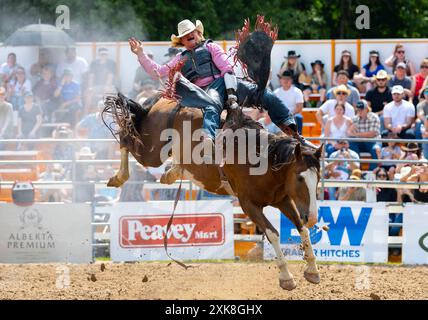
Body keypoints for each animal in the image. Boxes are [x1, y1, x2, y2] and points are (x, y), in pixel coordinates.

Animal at [103, 18, 322, 292]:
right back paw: (119, 177)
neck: (261, 158)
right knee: (126, 137)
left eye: (318, 180)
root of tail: (161, 101)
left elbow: (301, 229)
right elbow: (272, 233)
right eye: (301, 178)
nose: (313, 216)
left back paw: (171, 173)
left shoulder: (282, 198)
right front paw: (286, 277)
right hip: (150, 150)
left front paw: (312, 270)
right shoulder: (248, 204)